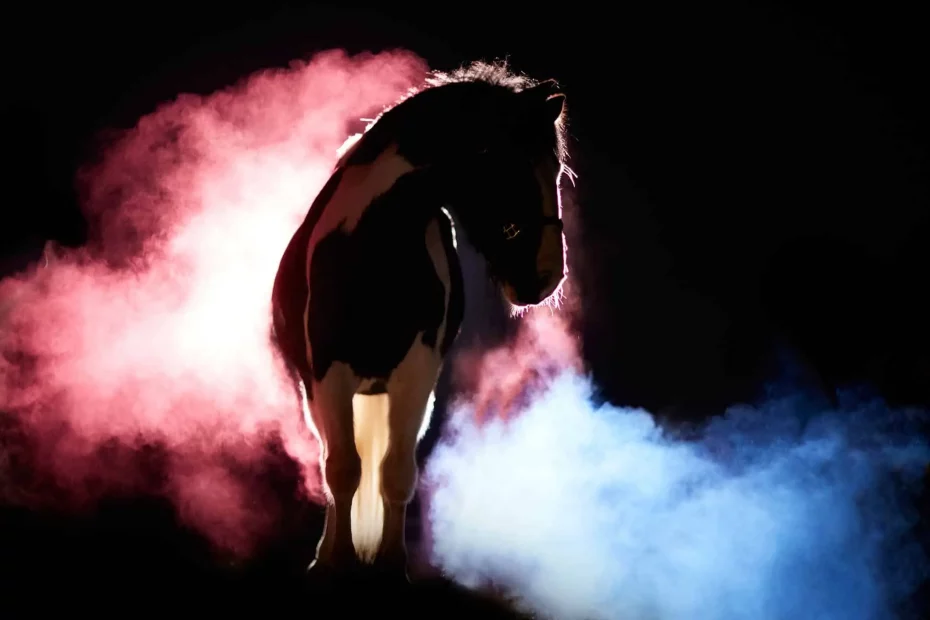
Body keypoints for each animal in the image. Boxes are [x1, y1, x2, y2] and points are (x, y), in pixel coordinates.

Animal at [270, 61, 572, 581]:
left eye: (553, 169)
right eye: (499, 158)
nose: (545, 275)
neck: (373, 254)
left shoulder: (417, 374)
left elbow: (395, 473)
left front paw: (391, 563)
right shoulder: (328, 376)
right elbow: (343, 470)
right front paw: (336, 559)